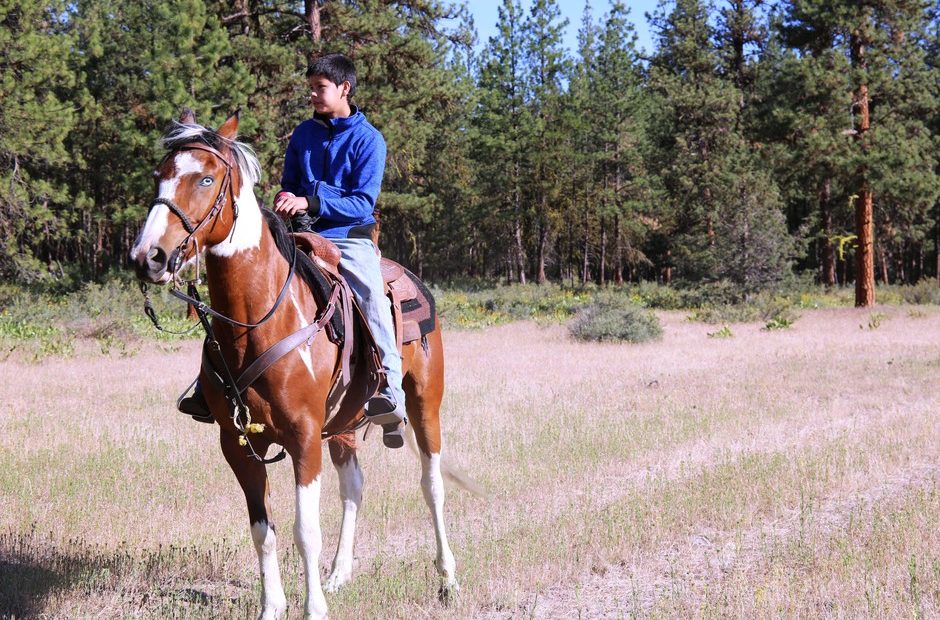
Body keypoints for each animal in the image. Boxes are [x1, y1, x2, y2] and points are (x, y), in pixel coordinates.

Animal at [129, 111, 474, 620]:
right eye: (160, 175)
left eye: (206, 178)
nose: (147, 256)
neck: (258, 322)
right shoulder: (237, 444)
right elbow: (263, 531)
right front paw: (273, 607)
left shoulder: (304, 437)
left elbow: (304, 531)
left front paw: (313, 609)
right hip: (345, 423)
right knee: (354, 486)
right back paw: (339, 574)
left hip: (425, 402)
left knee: (432, 484)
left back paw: (447, 579)